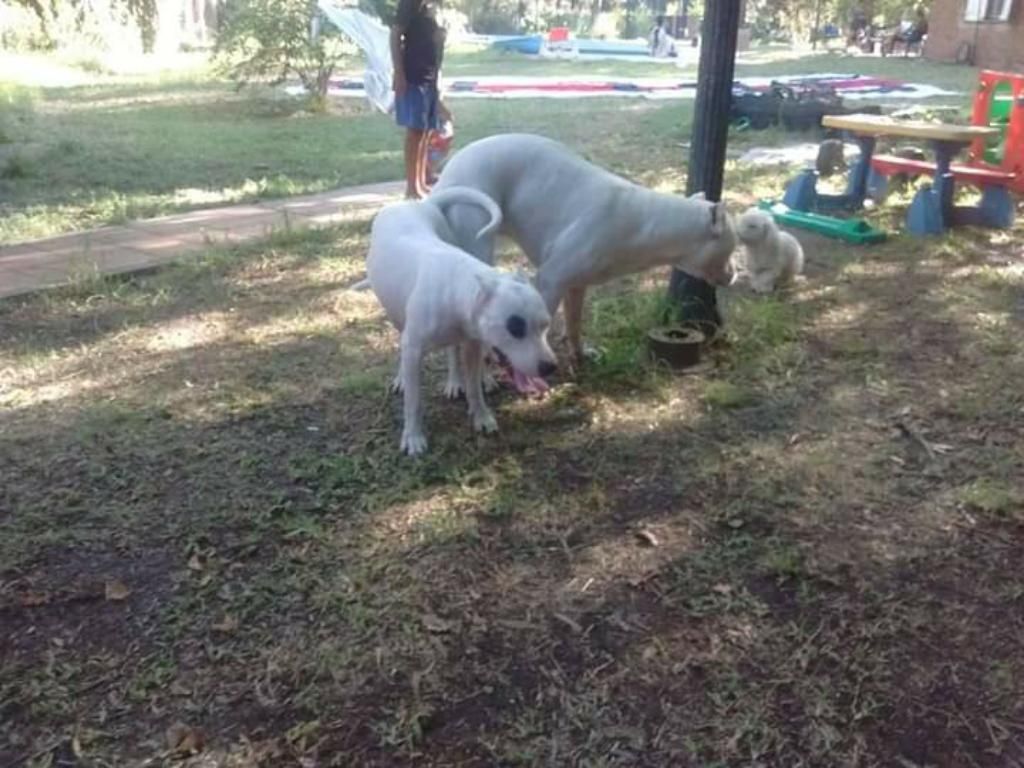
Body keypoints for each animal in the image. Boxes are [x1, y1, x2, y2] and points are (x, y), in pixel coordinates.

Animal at [366, 187, 561, 456]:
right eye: (515, 328)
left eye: (545, 325)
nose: (550, 367)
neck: (459, 285)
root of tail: (418, 204)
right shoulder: (414, 350)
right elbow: (414, 401)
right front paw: (413, 436)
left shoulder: (472, 344)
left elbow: (474, 386)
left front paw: (481, 416)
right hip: (395, 314)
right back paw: (402, 379)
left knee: (454, 352)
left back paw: (460, 381)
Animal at [430, 132, 737, 391]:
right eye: (733, 247)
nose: (735, 275)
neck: (646, 222)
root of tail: (449, 171)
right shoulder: (551, 280)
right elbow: (528, 335)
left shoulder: (576, 285)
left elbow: (574, 324)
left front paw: (579, 356)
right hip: (476, 248)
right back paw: (467, 381)